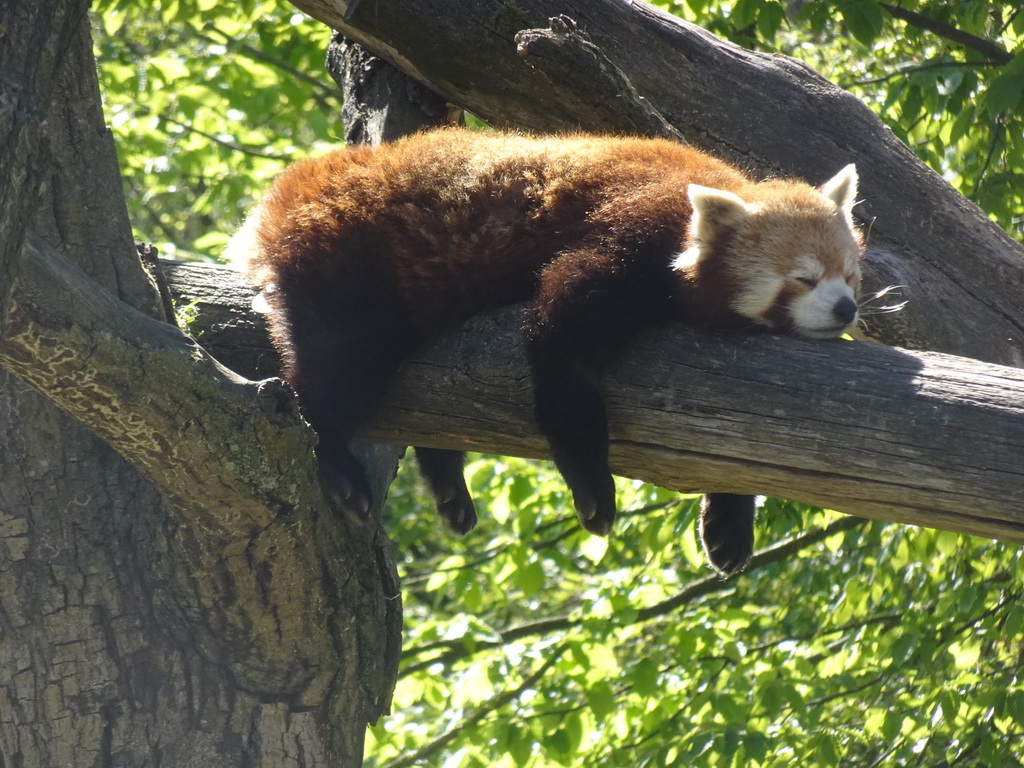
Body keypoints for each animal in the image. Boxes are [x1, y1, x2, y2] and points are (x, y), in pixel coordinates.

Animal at [228, 129, 860, 577]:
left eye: (850, 275)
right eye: (803, 279)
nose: (847, 310)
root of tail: (292, 188)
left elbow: (734, 449)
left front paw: (729, 523)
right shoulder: (625, 240)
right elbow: (560, 353)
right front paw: (592, 487)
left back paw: (448, 482)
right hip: (346, 270)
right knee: (333, 375)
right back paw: (337, 465)